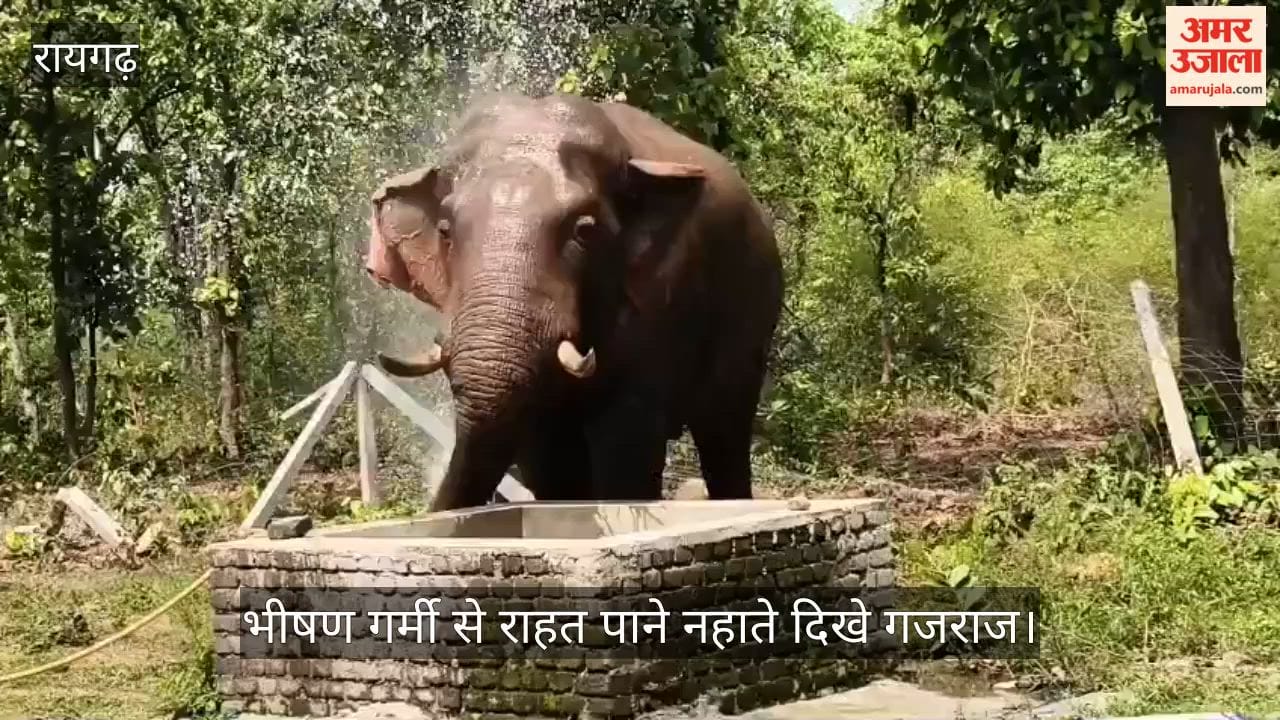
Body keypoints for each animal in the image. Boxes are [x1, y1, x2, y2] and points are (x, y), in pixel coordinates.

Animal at [363, 92, 783, 513]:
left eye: (583, 231)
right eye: (445, 230)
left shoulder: (655, 308)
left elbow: (625, 440)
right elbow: (546, 454)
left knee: (724, 430)